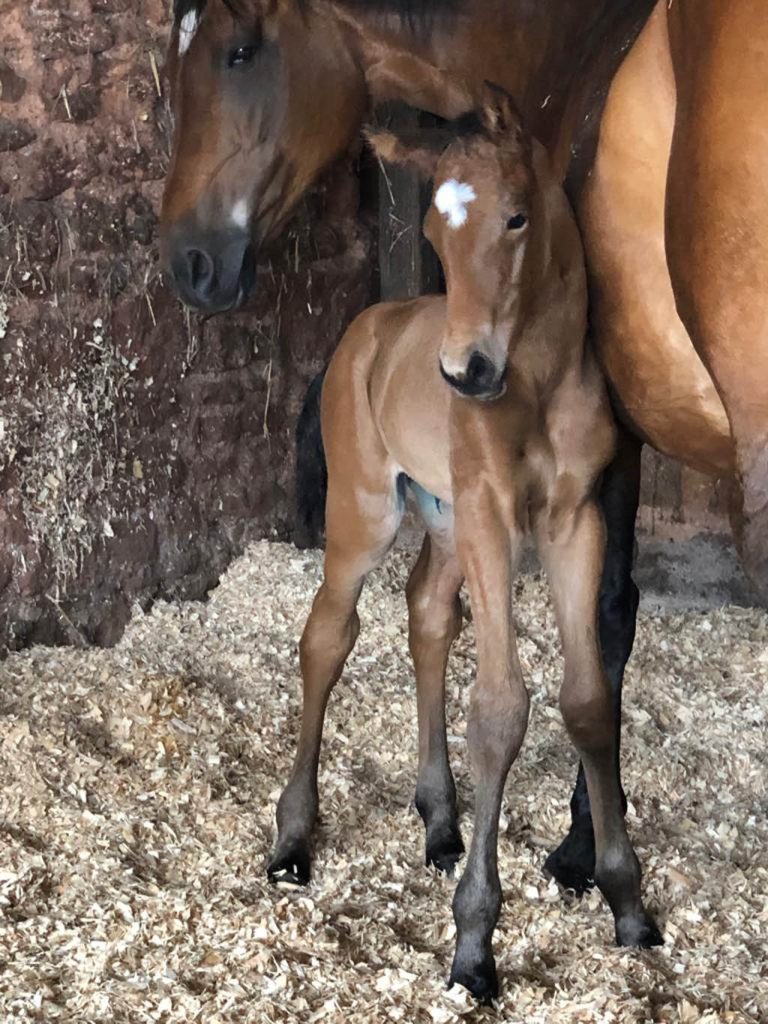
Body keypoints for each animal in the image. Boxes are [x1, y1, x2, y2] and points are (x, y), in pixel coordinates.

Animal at [267, 88, 662, 1003]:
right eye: (434, 237)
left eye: (517, 217)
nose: (465, 372)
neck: (539, 383)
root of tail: (365, 328)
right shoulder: (489, 513)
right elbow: (500, 710)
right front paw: (475, 944)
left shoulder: (573, 520)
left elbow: (588, 700)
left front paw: (626, 903)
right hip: (367, 511)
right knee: (327, 635)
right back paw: (294, 841)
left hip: (443, 522)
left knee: (426, 618)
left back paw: (440, 822)